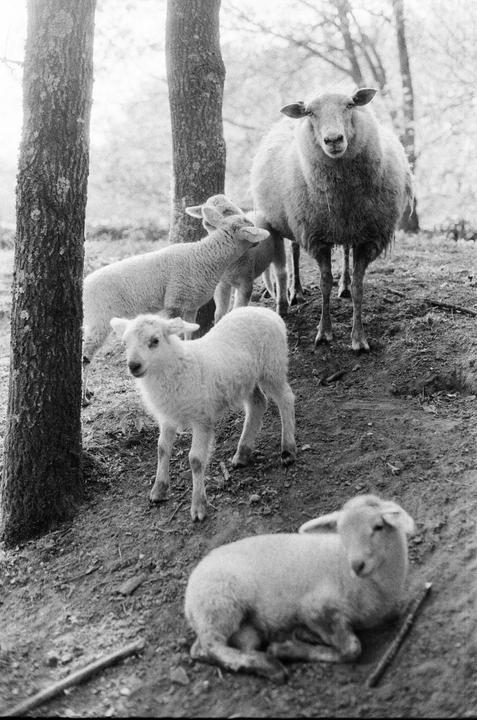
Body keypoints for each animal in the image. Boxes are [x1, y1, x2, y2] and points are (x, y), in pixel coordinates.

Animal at [82, 208, 269, 404]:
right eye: (250, 227)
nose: (259, 242)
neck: (206, 256)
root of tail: (84, 286)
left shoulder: (191, 304)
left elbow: (189, 334)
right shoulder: (175, 301)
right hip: (100, 318)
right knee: (86, 355)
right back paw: (84, 397)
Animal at [109, 306, 296, 521]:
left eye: (155, 341)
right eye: (124, 344)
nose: (133, 366)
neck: (175, 366)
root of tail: (264, 310)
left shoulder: (201, 418)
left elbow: (196, 460)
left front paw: (198, 505)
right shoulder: (167, 418)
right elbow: (162, 449)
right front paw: (159, 489)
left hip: (273, 366)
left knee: (286, 399)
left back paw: (288, 449)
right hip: (246, 379)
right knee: (257, 403)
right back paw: (242, 452)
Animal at [184, 494, 415, 682]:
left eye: (378, 527)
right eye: (342, 534)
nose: (357, 565)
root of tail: (188, 601)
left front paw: (301, 637)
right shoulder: (314, 608)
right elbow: (352, 649)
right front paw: (286, 649)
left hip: (237, 623)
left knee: (203, 649)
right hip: (221, 603)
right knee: (212, 646)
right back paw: (270, 667)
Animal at [251, 87, 413, 351]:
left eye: (350, 105)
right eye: (309, 112)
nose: (333, 140)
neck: (342, 193)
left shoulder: (367, 238)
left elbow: (359, 285)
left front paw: (358, 338)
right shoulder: (316, 237)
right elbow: (324, 283)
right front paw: (324, 332)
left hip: (348, 227)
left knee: (345, 250)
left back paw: (343, 285)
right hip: (296, 222)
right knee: (295, 250)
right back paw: (296, 291)